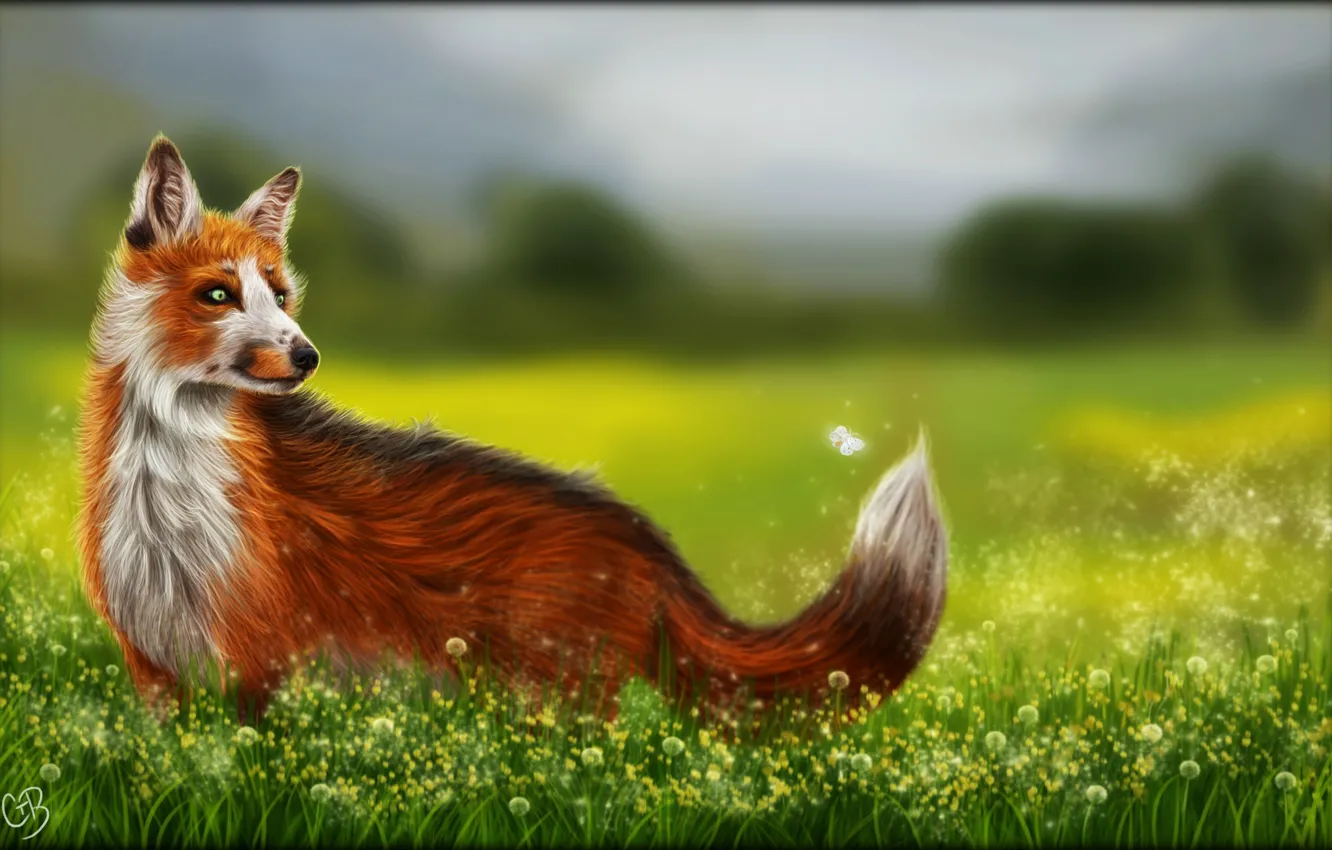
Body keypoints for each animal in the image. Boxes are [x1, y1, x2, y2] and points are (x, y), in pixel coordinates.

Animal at [77, 135, 949, 726]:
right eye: (219, 294)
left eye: (281, 294)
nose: (306, 355)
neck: (169, 503)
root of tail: (646, 536)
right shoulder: (155, 671)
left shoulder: (261, 670)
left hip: (553, 704)